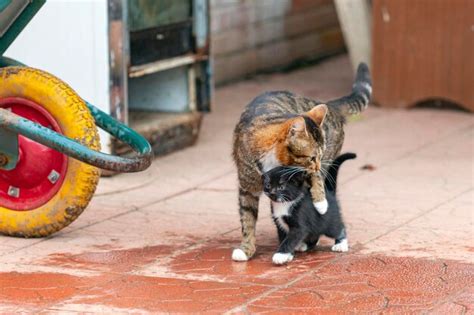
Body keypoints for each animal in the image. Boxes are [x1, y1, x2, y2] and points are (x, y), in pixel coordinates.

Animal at [231, 63, 372, 262]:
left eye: (319, 155)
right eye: (312, 157)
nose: (318, 164)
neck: (273, 158)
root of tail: (330, 105)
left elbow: (313, 187)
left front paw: (321, 203)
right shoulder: (247, 188)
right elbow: (247, 218)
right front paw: (246, 249)